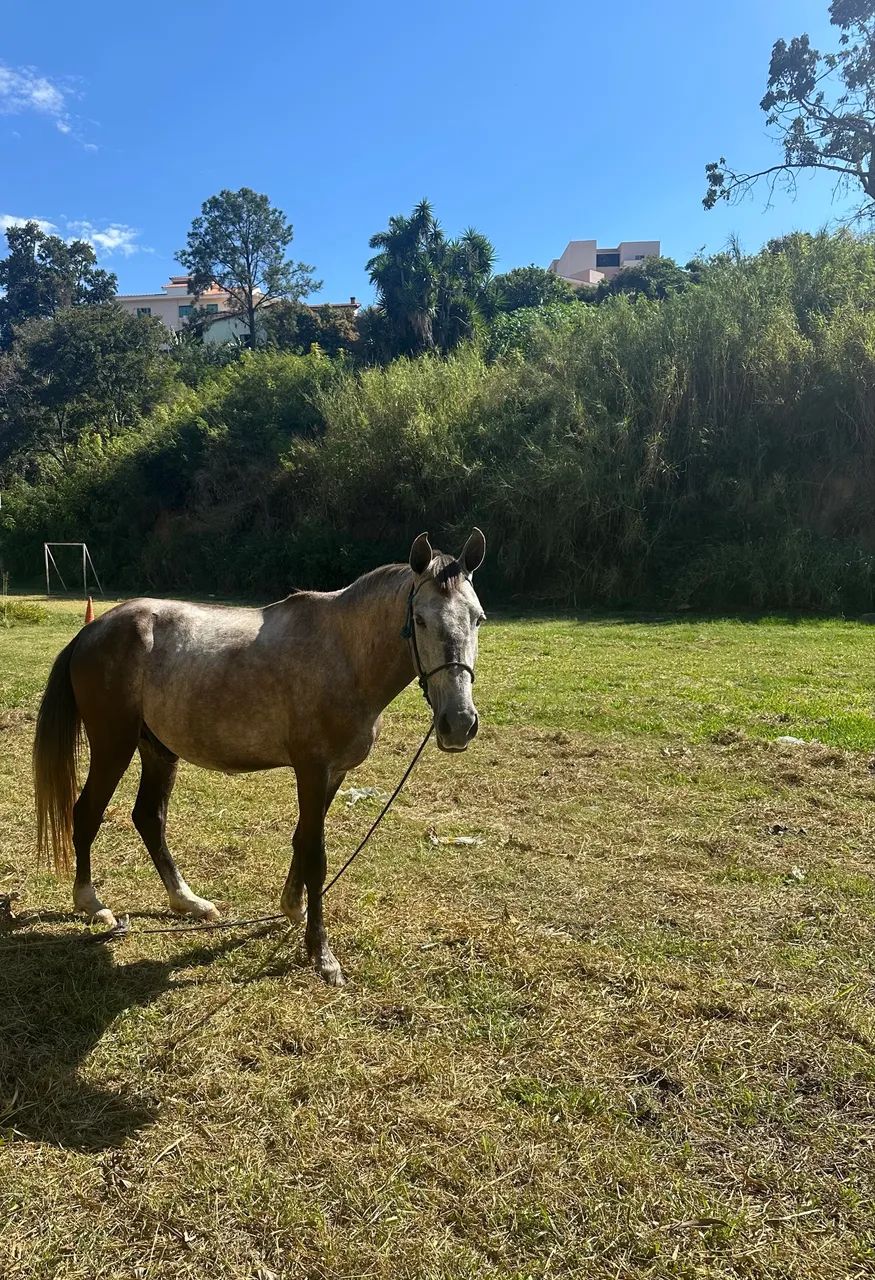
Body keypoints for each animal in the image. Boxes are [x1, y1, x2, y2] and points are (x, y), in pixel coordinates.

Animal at [32, 529, 486, 985]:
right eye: (421, 620)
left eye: (478, 618)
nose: (458, 723)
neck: (344, 654)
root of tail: (92, 630)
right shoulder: (312, 769)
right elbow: (316, 854)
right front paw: (321, 954)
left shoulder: (333, 774)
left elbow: (302, 840)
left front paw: (293, 909)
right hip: (114, 746)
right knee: (86, 812)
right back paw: (92, 903)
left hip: (158, 750)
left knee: (148, 818)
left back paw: (188, 902)